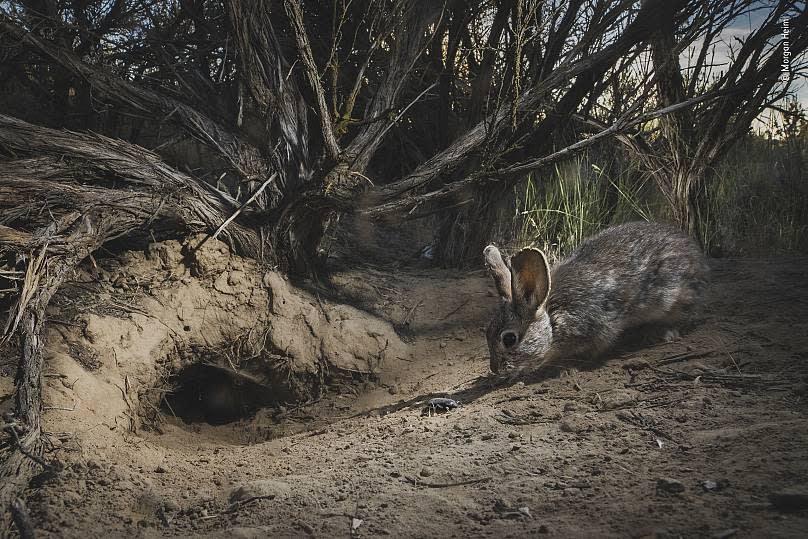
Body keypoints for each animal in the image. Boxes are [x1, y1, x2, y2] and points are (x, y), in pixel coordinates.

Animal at [486, 221, 708, 374]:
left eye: (509, 339)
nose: (495, 369)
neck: (552, 317)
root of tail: (696, 255)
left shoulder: (597, 327)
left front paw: (566, 368)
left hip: (675, 297)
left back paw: (664, 332)